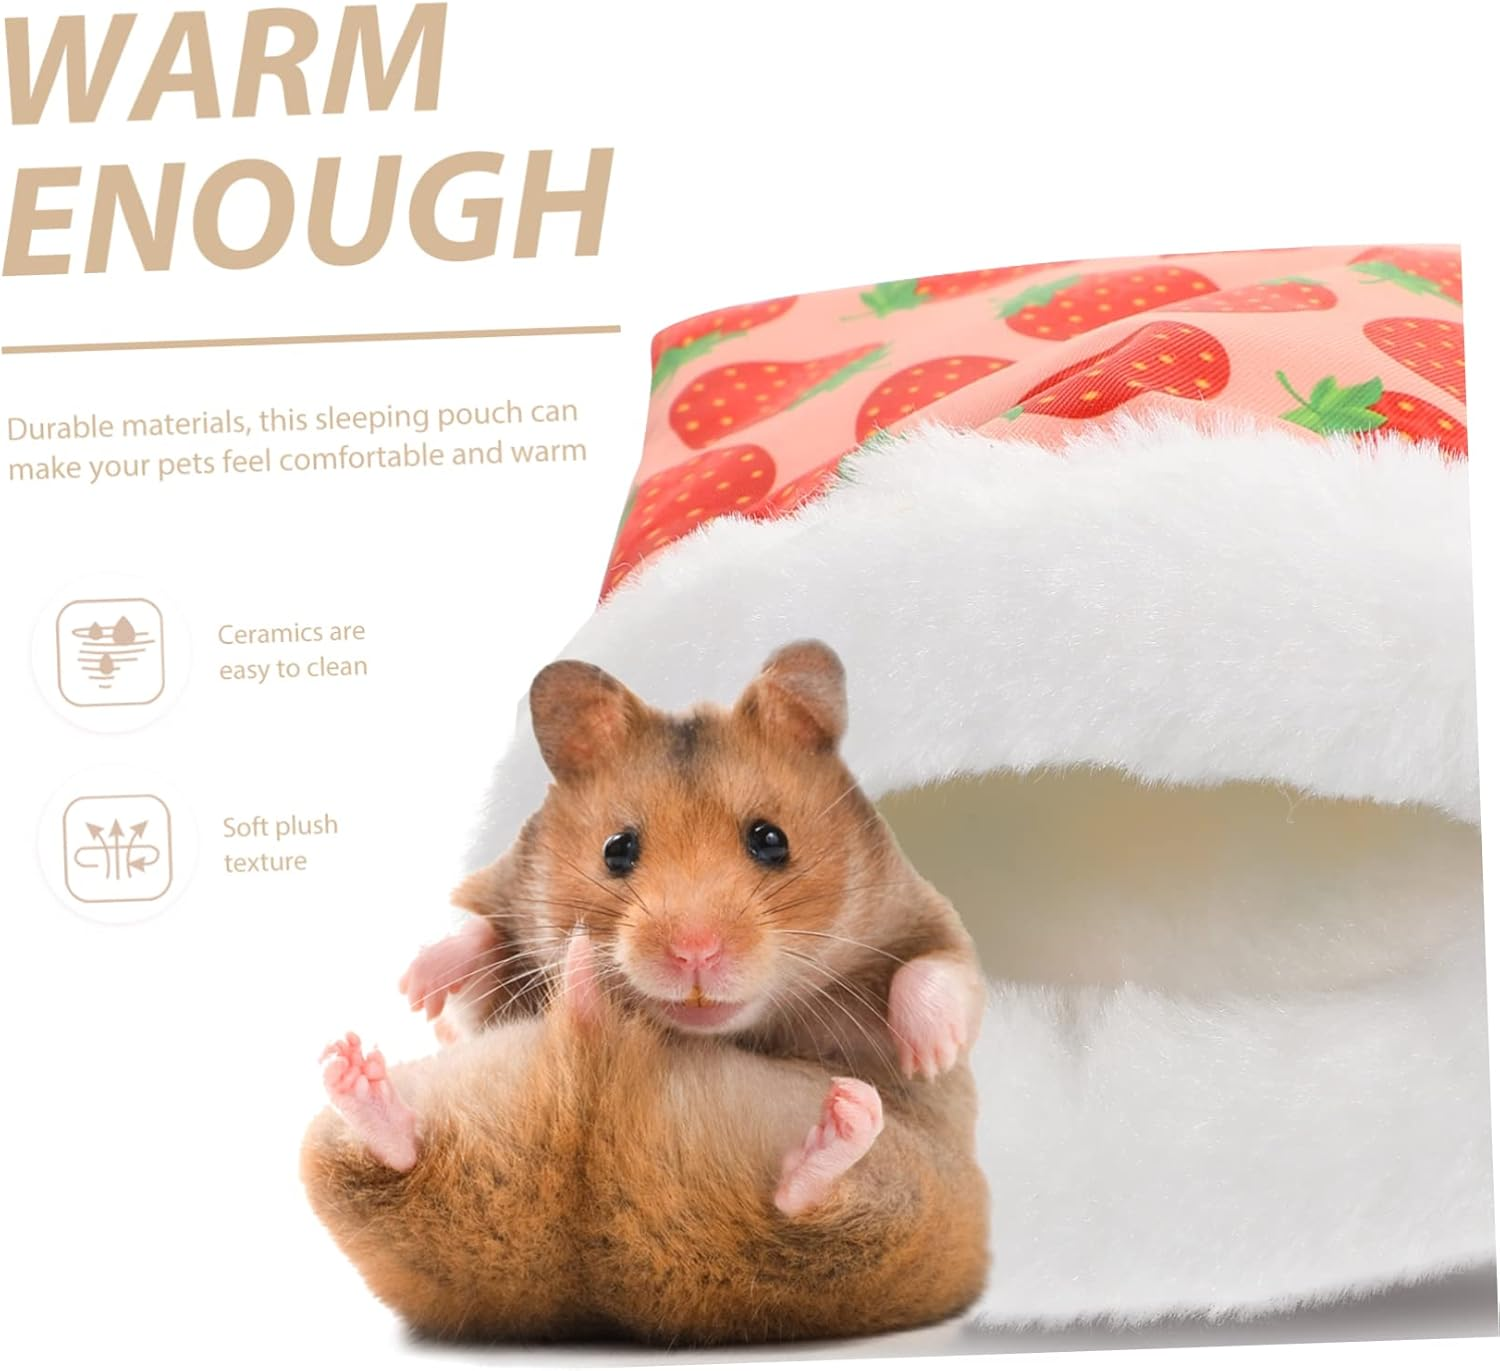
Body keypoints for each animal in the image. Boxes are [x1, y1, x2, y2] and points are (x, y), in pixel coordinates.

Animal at [302, 641, 989, 1343]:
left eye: (771, 839)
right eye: (617, 849)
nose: (694, 952)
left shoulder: (926, 916)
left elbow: (939, 973)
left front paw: (927, 1053)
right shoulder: (492, 956)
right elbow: (475, 949)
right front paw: (417, 986)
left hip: (909, 1215)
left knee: (810, 1211)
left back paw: (846, 1114)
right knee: (395, 1159)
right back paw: (357, 1069)